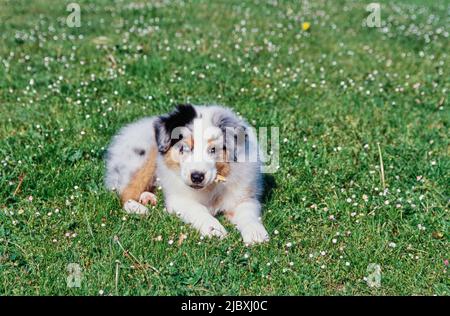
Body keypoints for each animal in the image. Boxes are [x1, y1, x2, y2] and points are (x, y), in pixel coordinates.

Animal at [105, 105, 268, 246]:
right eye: (184, 148)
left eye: (213, 149)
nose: (197, 177)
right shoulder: (178, 199)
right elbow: (197, 209)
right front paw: (214, 229)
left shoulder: (243, 196)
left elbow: (247, 213)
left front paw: (256, 234)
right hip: (144, 156)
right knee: (126, 191)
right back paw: (139, 208)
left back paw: (148, 198)